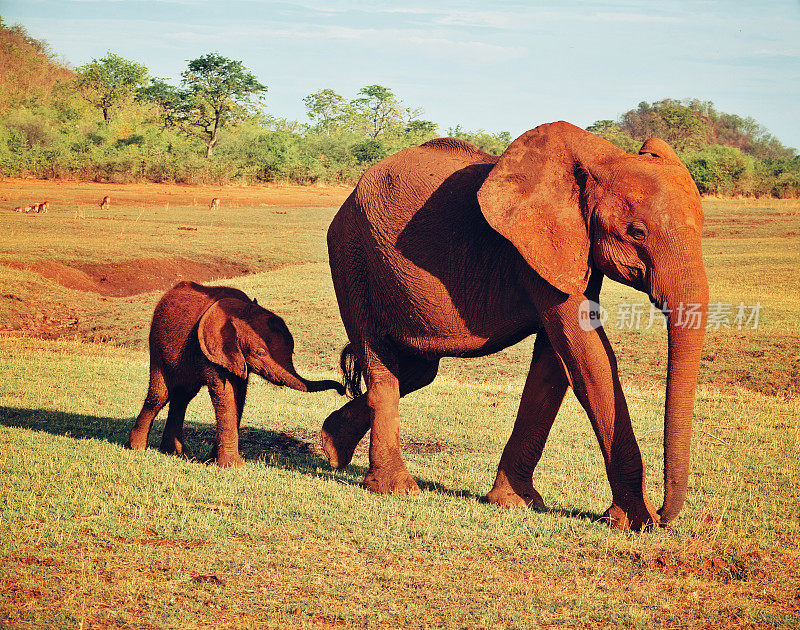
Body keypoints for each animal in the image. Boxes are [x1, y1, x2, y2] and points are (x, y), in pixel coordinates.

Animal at [129, 284, 344, 466]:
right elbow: (225, 394)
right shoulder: (210, 350)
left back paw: (174, 452)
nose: (343, 390)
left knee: (182, 397)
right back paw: (137, 448)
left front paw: (214, 460)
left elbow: (239, 395)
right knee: (160, 394)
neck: (242, 309)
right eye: (259, 353)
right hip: (157, 344)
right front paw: (232, 466)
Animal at [322, 121, 708, 532]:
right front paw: (635, 522)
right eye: (636, 232)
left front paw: (515, 502)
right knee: (381, 362)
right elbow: (588, 358)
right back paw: (394, 488)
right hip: (351, 257)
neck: (602, 157)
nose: (665, 516)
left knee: (417, 371)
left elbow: (557, 361)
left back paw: (332, 448)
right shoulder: (538, 244)